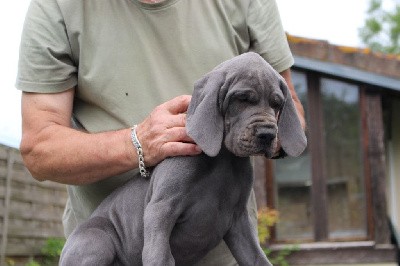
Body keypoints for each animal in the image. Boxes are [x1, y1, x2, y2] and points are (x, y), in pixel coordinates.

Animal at [60, 52, 306, 266]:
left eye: (277, 104)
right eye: (242, 99)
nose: (267, 134)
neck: (223, 159)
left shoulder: (238, 221)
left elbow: (257, 258)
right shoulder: (160, 208)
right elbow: (159, 256)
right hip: (96, 239)